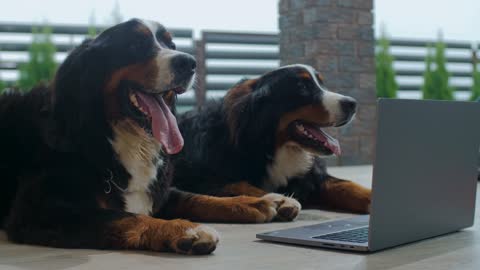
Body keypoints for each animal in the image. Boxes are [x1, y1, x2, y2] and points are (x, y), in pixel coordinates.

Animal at [0, 19, 300, 255]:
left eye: (171, 43)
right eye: (135, 45)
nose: (189, 62)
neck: (109, 135)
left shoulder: (159, 190)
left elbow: (197, 197)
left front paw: (260, 201)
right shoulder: (39, 208)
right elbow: (124, 217)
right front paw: (185, 231)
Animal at [172, 64, 372, 214]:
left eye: (322, 85)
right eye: (303, 87)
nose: (352, 104)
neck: (274, 147)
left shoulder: (312, 177)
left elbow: (347, 186)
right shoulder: (196, 177)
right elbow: (239, 185)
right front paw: (282, 200)